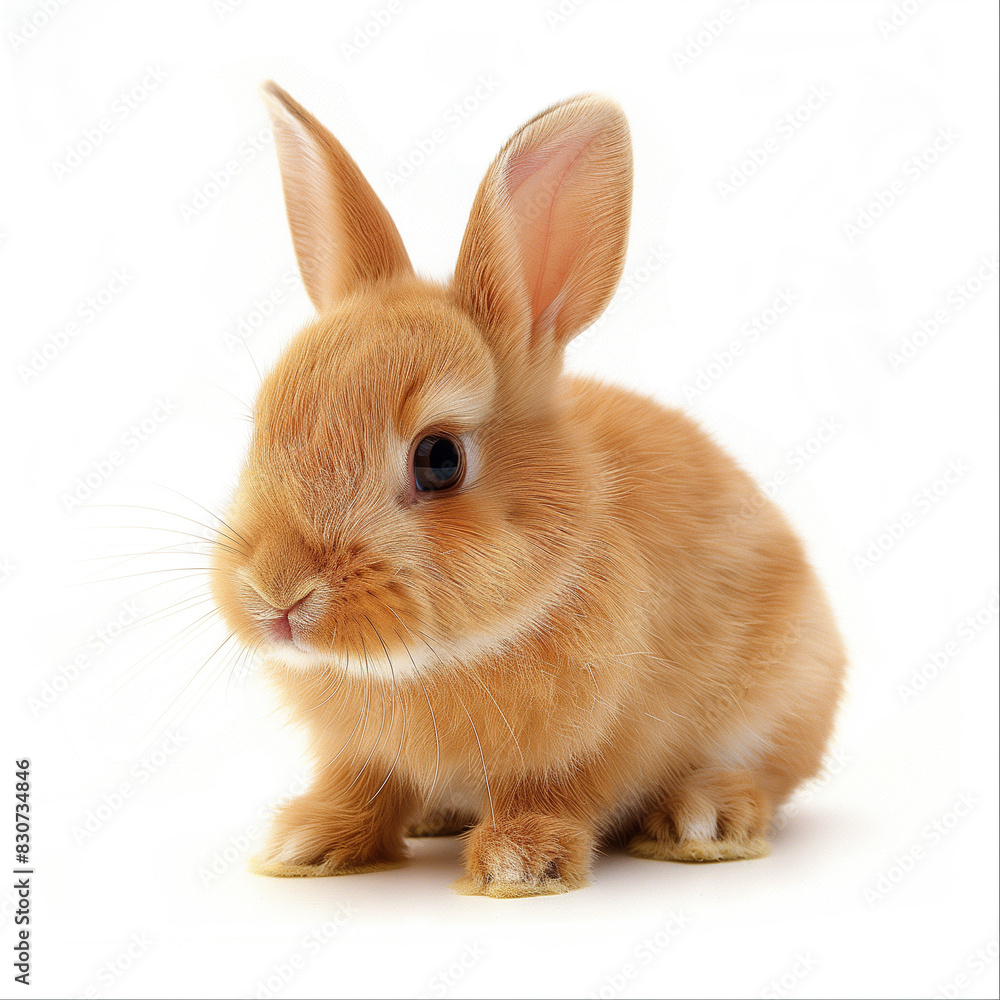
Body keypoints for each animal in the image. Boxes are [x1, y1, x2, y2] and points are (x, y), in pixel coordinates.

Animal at [209, 81, 846, 898]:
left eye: (439, 460)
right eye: (260, 425)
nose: (277, 595)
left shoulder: (589, 744)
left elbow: (550, 791)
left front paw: (519, 866)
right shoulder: (360, 755)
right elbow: (361, 788)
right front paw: (307, 844)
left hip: (786, 695)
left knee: (764, 774)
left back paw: (706, 819)